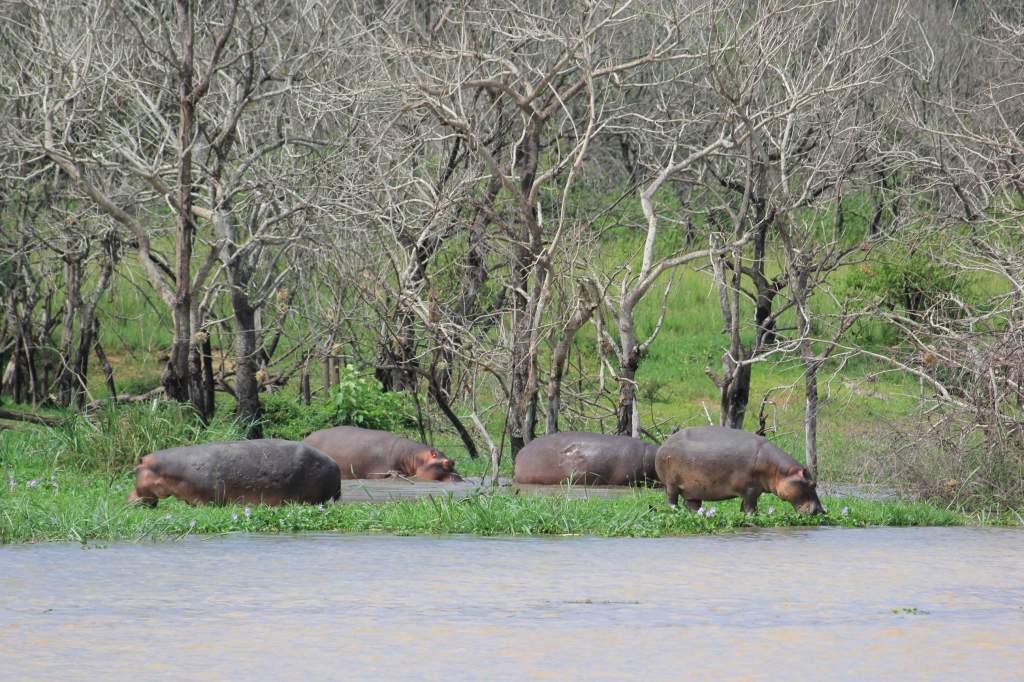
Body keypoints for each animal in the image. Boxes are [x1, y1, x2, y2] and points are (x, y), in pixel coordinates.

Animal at [655, 426, 825, 514]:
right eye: (813, 484)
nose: (821, 511)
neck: (779, 471)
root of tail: (664, 443)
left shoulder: (754, 491)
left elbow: (745, 508)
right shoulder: (749, 490)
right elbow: (750, 508)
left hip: (693, 491)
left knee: (692, 505)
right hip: (671, 484)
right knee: (671, 500)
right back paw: (674, 510)